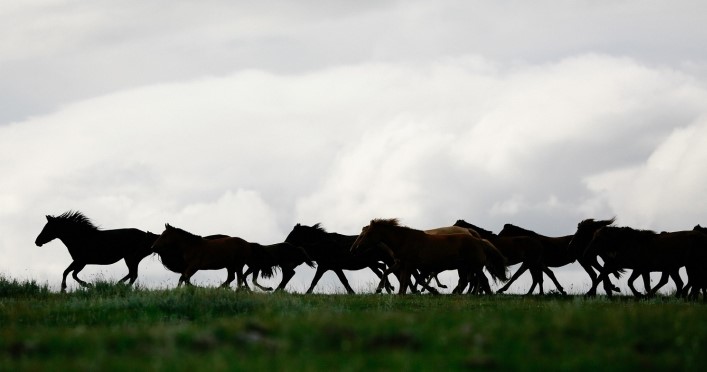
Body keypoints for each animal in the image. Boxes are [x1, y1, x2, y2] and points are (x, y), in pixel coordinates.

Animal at [350, 219, 508, 294]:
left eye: (366, 234)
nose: (354, 249)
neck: (405, 240)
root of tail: (479, 240)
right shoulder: (402, 264)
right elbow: (391, 274)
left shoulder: (410, 265)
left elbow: (407, 281)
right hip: (465, 267)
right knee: (468, 281)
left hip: (473, 266)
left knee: (480, 281)